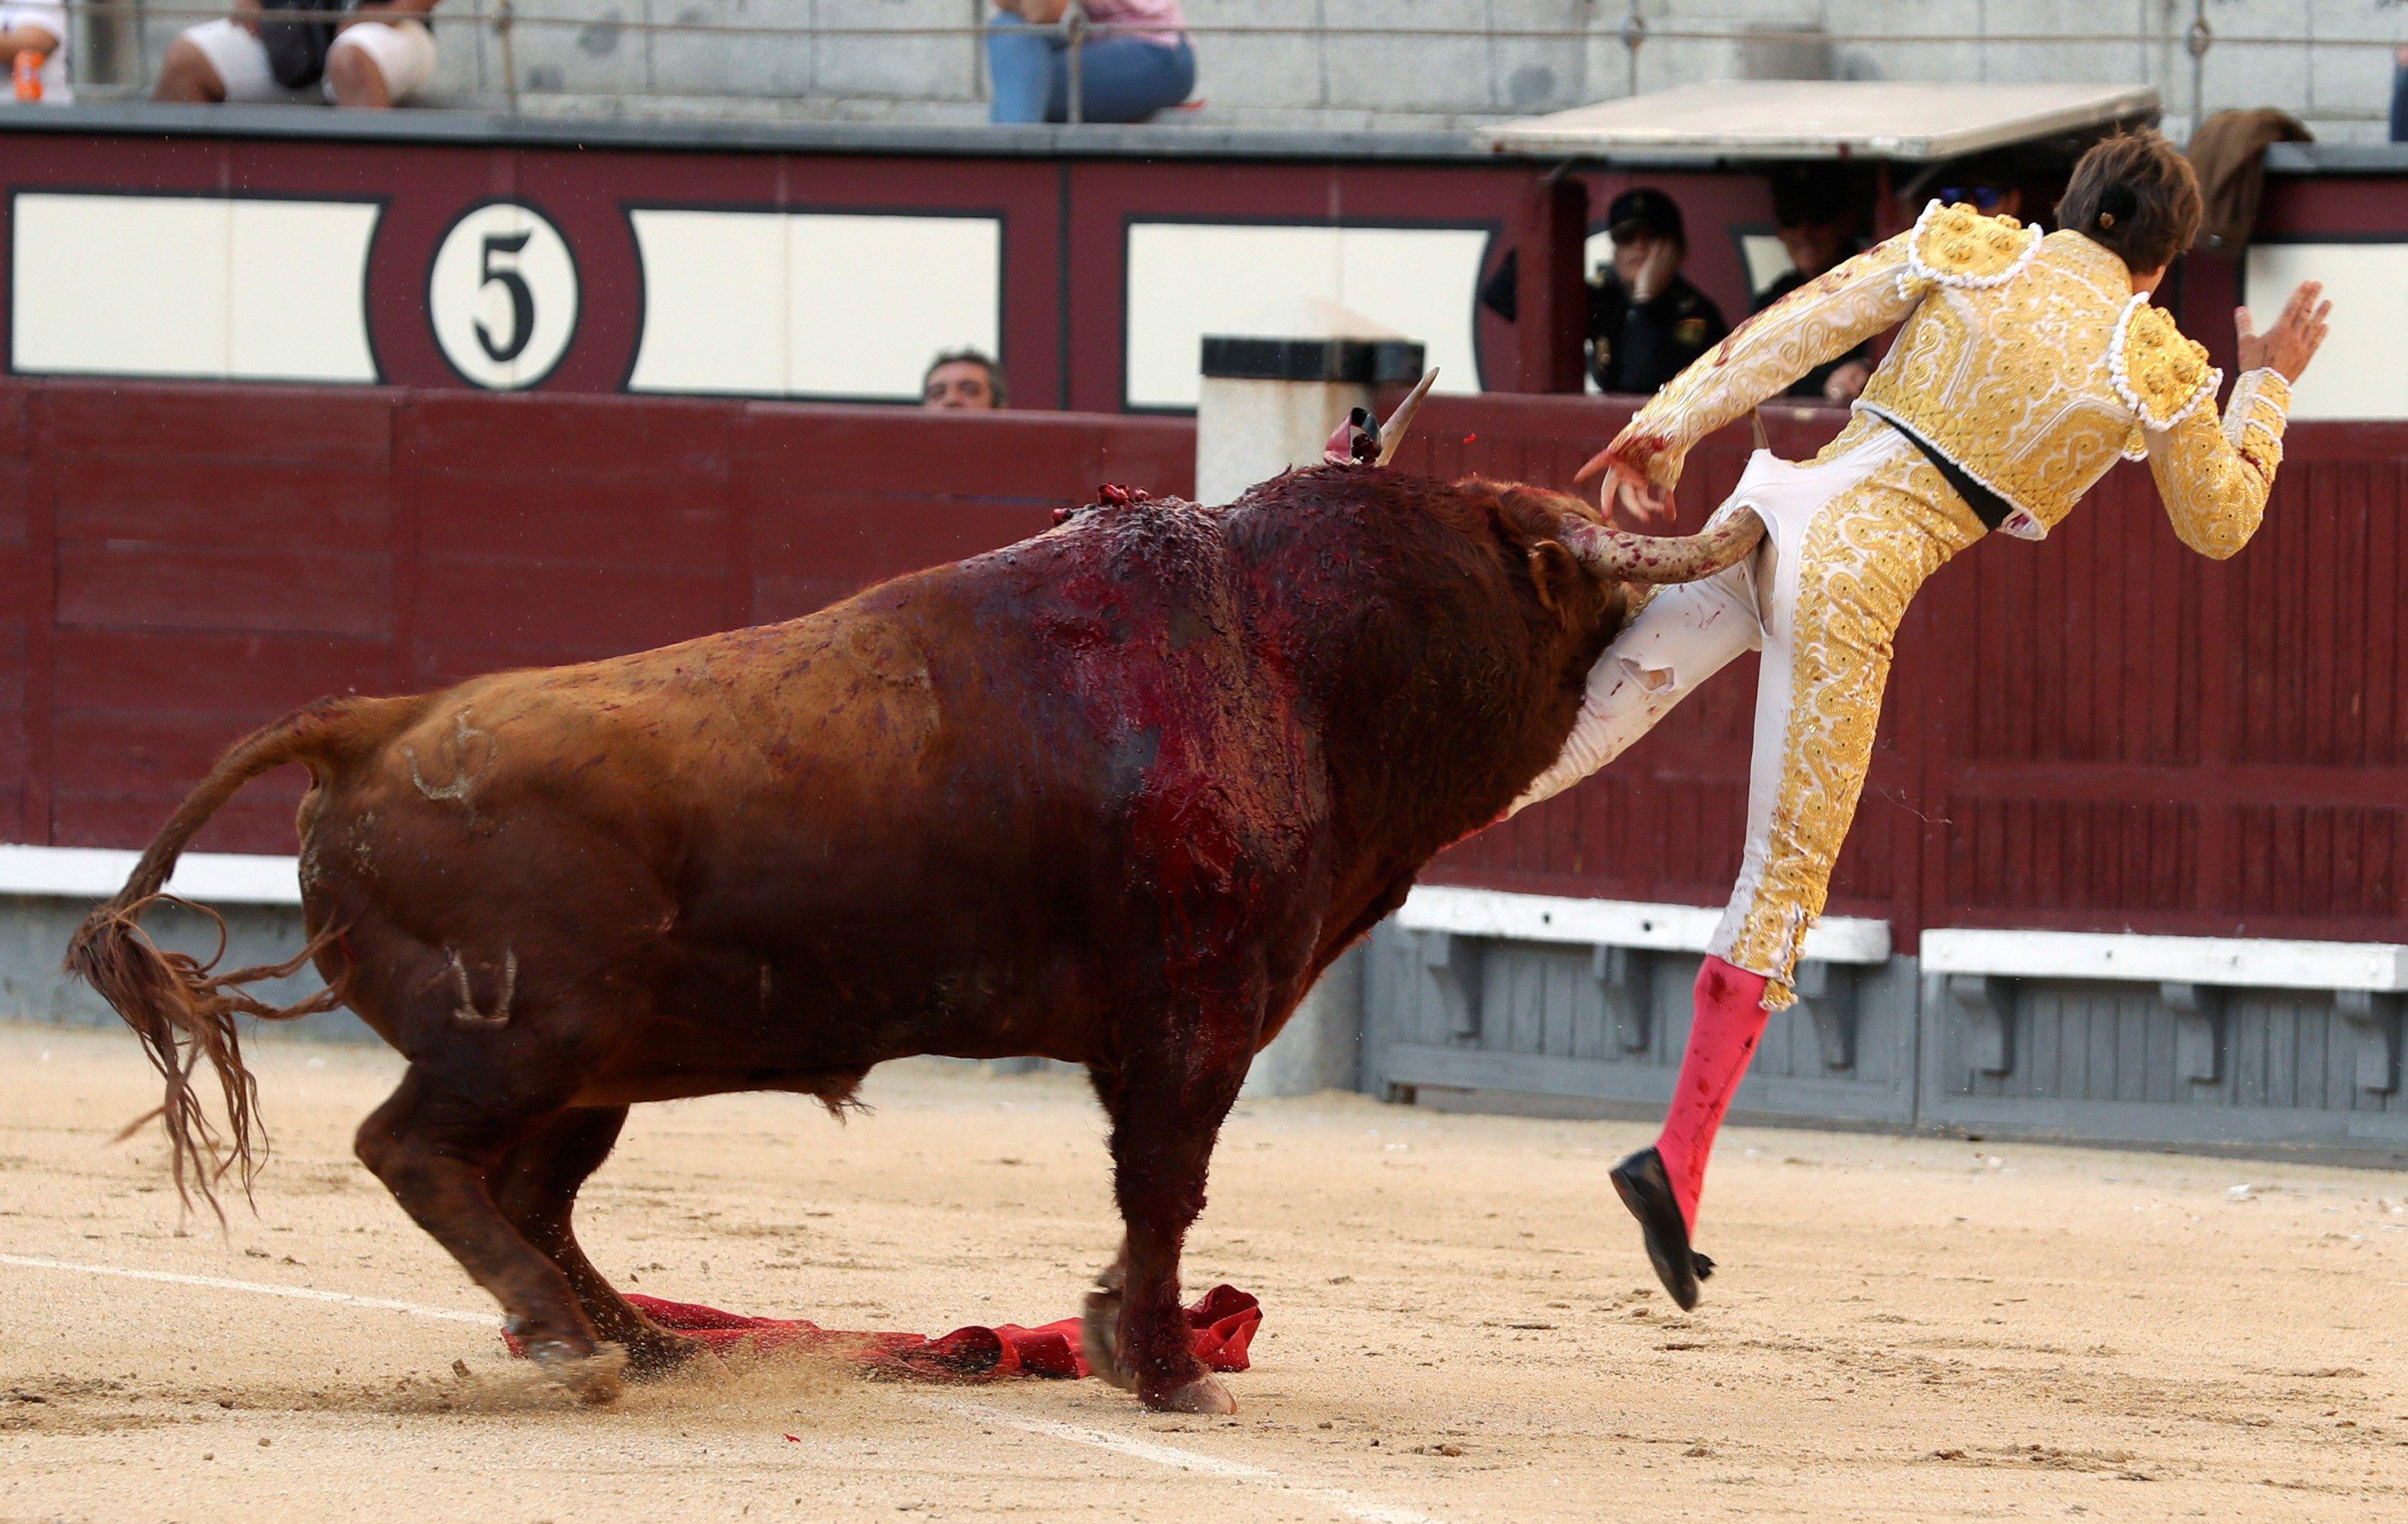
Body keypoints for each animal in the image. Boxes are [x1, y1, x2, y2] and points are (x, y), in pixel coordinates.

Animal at [67, 439, 1761, 1414]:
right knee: (416, 1152)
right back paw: (568, 1341)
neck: (1297, 659)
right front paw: (1164, 1373)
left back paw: (641, 1339)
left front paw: (1123, 1345)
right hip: (527, 1034)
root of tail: (374, 720)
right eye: (1561, 583)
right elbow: (1165, 1194)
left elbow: (1155, 1201)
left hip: (597, 1063)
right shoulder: (1189, 1024)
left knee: (531, 1190)